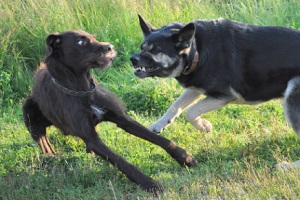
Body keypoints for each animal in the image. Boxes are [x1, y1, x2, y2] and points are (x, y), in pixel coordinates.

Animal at [23, 30, 197, 195]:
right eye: (80, 42)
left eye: (93, 37)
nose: (110, 47)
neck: (83, 90)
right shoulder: (90, 137)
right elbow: (121, 161)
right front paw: (149, 183)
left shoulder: (122, 119)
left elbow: (159, 139)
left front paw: (184, 157)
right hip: (29, 112)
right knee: (41, 137)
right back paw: (49, 152)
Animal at [132, 14, 300, 170]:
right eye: (142, 47)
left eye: (156, 50)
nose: (132, 59)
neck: (197, 50)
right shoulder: (197, 88)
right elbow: (176, 105)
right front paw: (159, 124)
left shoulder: (223, 96)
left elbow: (191, 112)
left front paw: (204, 125)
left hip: (291, 101)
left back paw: (288, 166)